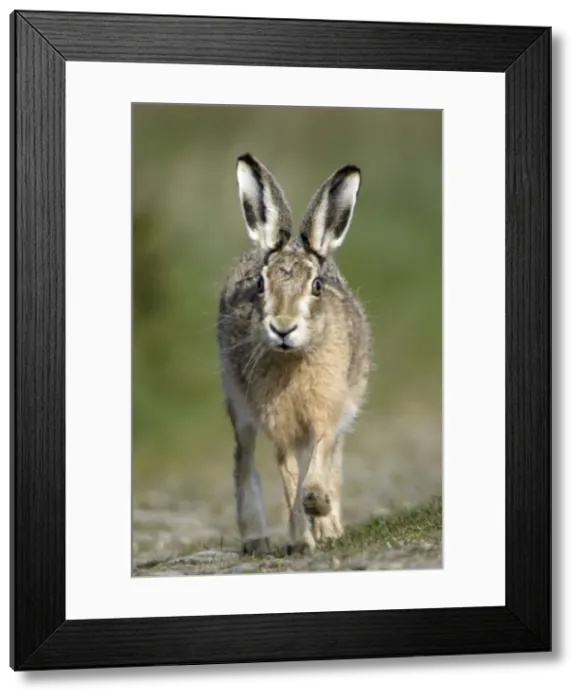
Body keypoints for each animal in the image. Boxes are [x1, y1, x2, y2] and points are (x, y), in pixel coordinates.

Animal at [216, 153, 372, 556]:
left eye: (316, 286)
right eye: (260, 284)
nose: (283, 328)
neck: (294, 359)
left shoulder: (326, 413)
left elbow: (319, 461)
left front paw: (318, 506)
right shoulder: (279, 427)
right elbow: (288, 481)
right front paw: (302, 540)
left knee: (332, 463)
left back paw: (330, 527)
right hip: (239, 405)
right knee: (244, 461)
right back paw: (257, 539)